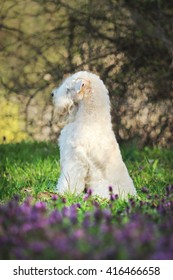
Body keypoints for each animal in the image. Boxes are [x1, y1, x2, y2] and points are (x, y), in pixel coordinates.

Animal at [51, 71, 137, 199]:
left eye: (67, 89)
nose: (52, 94)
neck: (90, 119)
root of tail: (131, 196)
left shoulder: (74, 158)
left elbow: (69, 178)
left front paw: (65, 192)